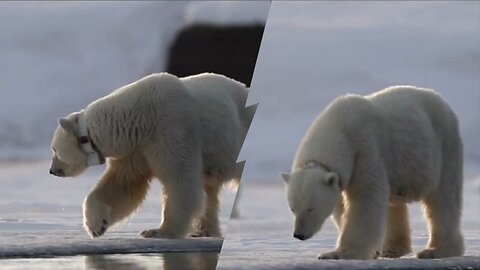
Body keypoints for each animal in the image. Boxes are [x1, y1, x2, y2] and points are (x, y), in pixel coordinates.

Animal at [49, 71, 255, 238]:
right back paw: (204, 230)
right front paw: (96, 226)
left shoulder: (171, 128)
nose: (52, 170)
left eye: (54, 150)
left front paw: (158, 231)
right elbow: (123, 184)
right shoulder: (136, 149)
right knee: (209, 189)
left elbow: (180, 179)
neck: (139, 116)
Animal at [282, 86, 464, 260]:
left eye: (311, 208)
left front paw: (339, 253)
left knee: (443, 199)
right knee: (393, 204)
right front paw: (370, 251)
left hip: (444, 147)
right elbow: (342, 207)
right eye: (292, 208)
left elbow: (365, 199)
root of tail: (441, 101)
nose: (299, 235)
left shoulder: (365, 150)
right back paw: (390, 249)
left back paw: (436, 250)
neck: (340, 130)